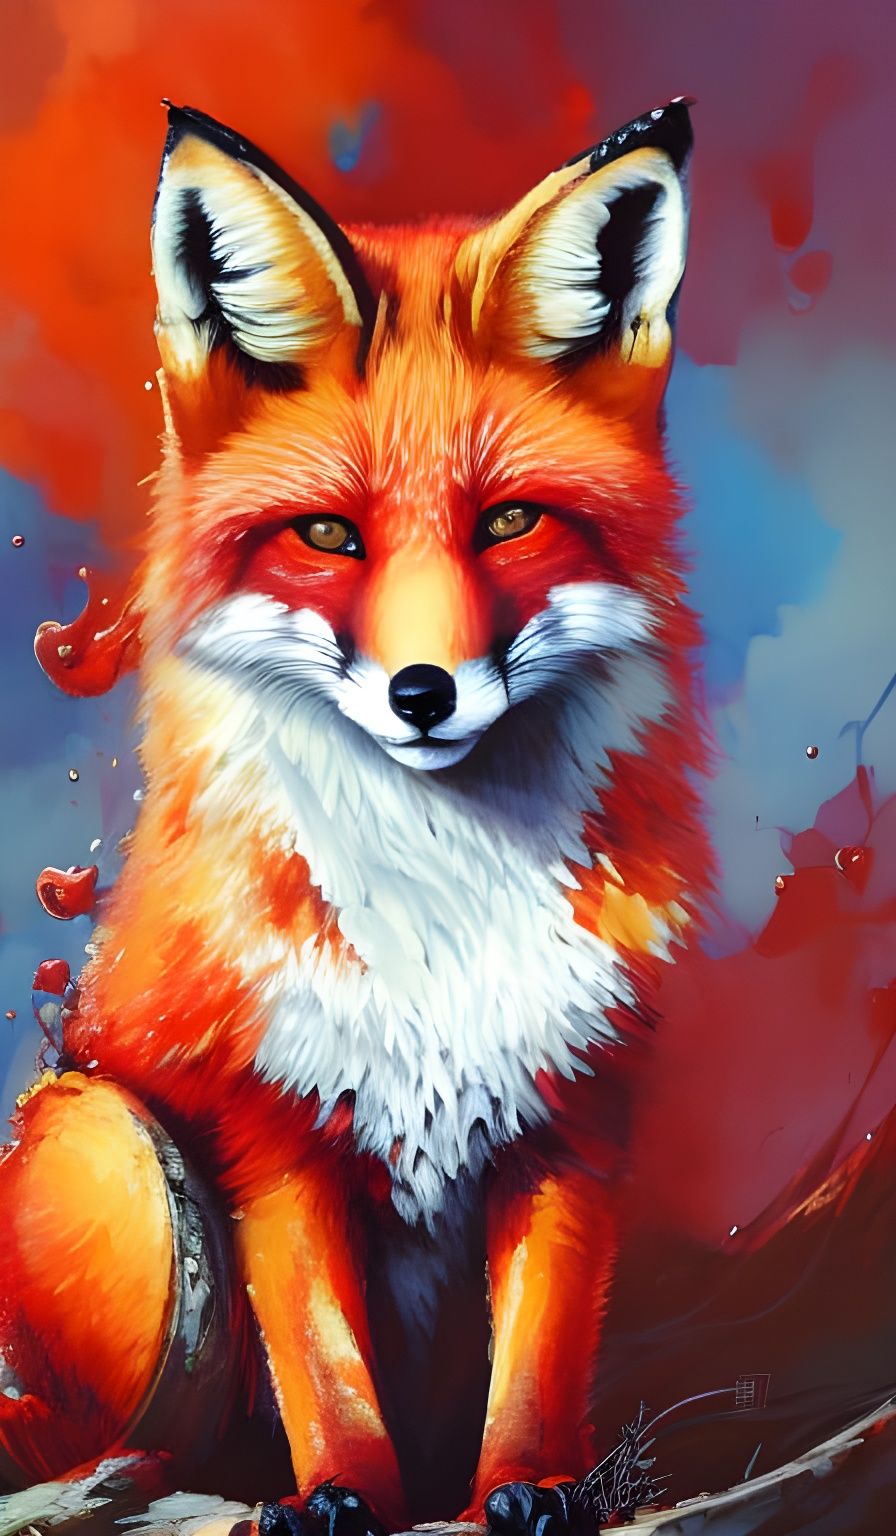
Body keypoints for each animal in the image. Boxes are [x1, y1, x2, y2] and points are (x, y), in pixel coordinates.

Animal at [0, 98, 708, 1535]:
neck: (440, 911)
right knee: (109, 1452)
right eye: (328, 535)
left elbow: (538, 1359)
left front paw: (533, 1488)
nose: (422, 693)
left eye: (509, 522)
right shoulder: (270, 1133)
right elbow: (322, 1362)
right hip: (113, 1140)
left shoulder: (572, 1117)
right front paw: (337, 1496)